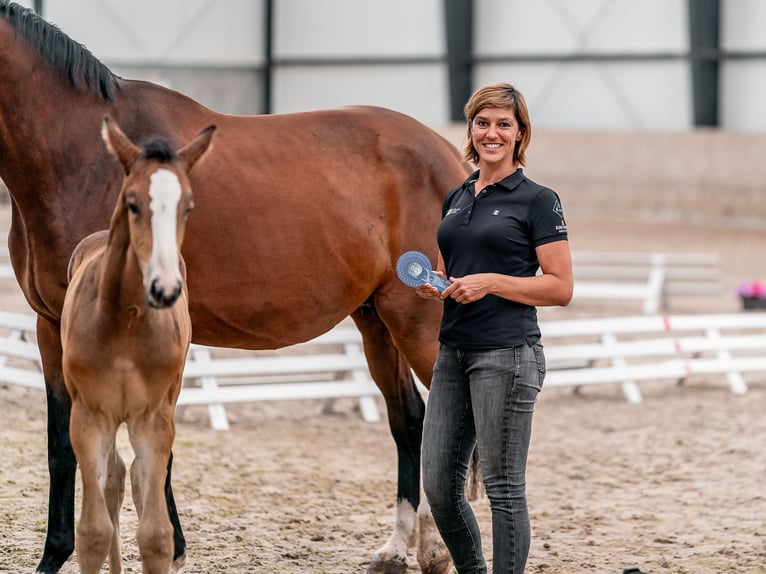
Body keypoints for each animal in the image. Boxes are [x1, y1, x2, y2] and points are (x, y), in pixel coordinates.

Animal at [61, 117, 215, 574]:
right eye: (132, 203)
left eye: (188, 207)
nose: (165, 288)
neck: (126, 322)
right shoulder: (90, 416)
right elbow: (92, 532)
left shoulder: (153, 418)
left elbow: (156, 535)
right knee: (112, 477)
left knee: (128, 478)